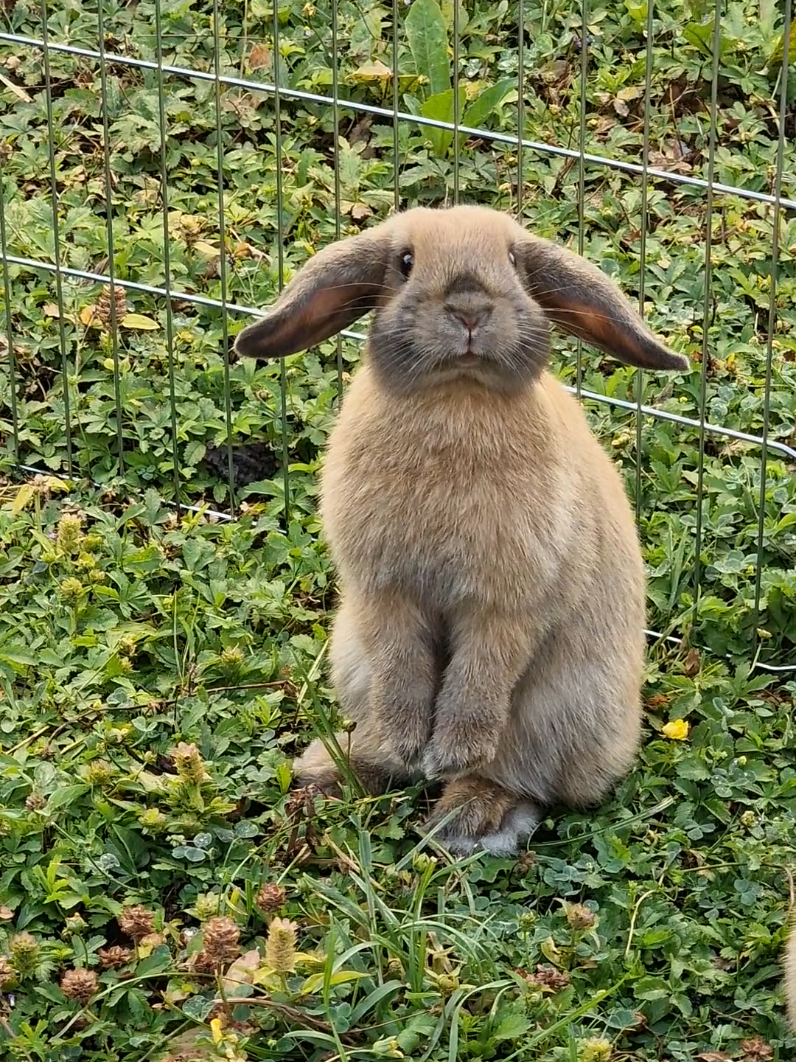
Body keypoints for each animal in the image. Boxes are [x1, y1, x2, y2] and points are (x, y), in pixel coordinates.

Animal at [234, 204, 689, 857]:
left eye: (515, 261)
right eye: (404, 262)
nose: (469, 308)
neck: (458, 391)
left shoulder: (505, 606)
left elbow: (477, 681)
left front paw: (447, 754)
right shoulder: (384, 594)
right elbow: (402, 671)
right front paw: (410, 746)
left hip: (555, 713)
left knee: (522, 777)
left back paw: (466, 817)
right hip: (354, 658)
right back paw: (335, 768)